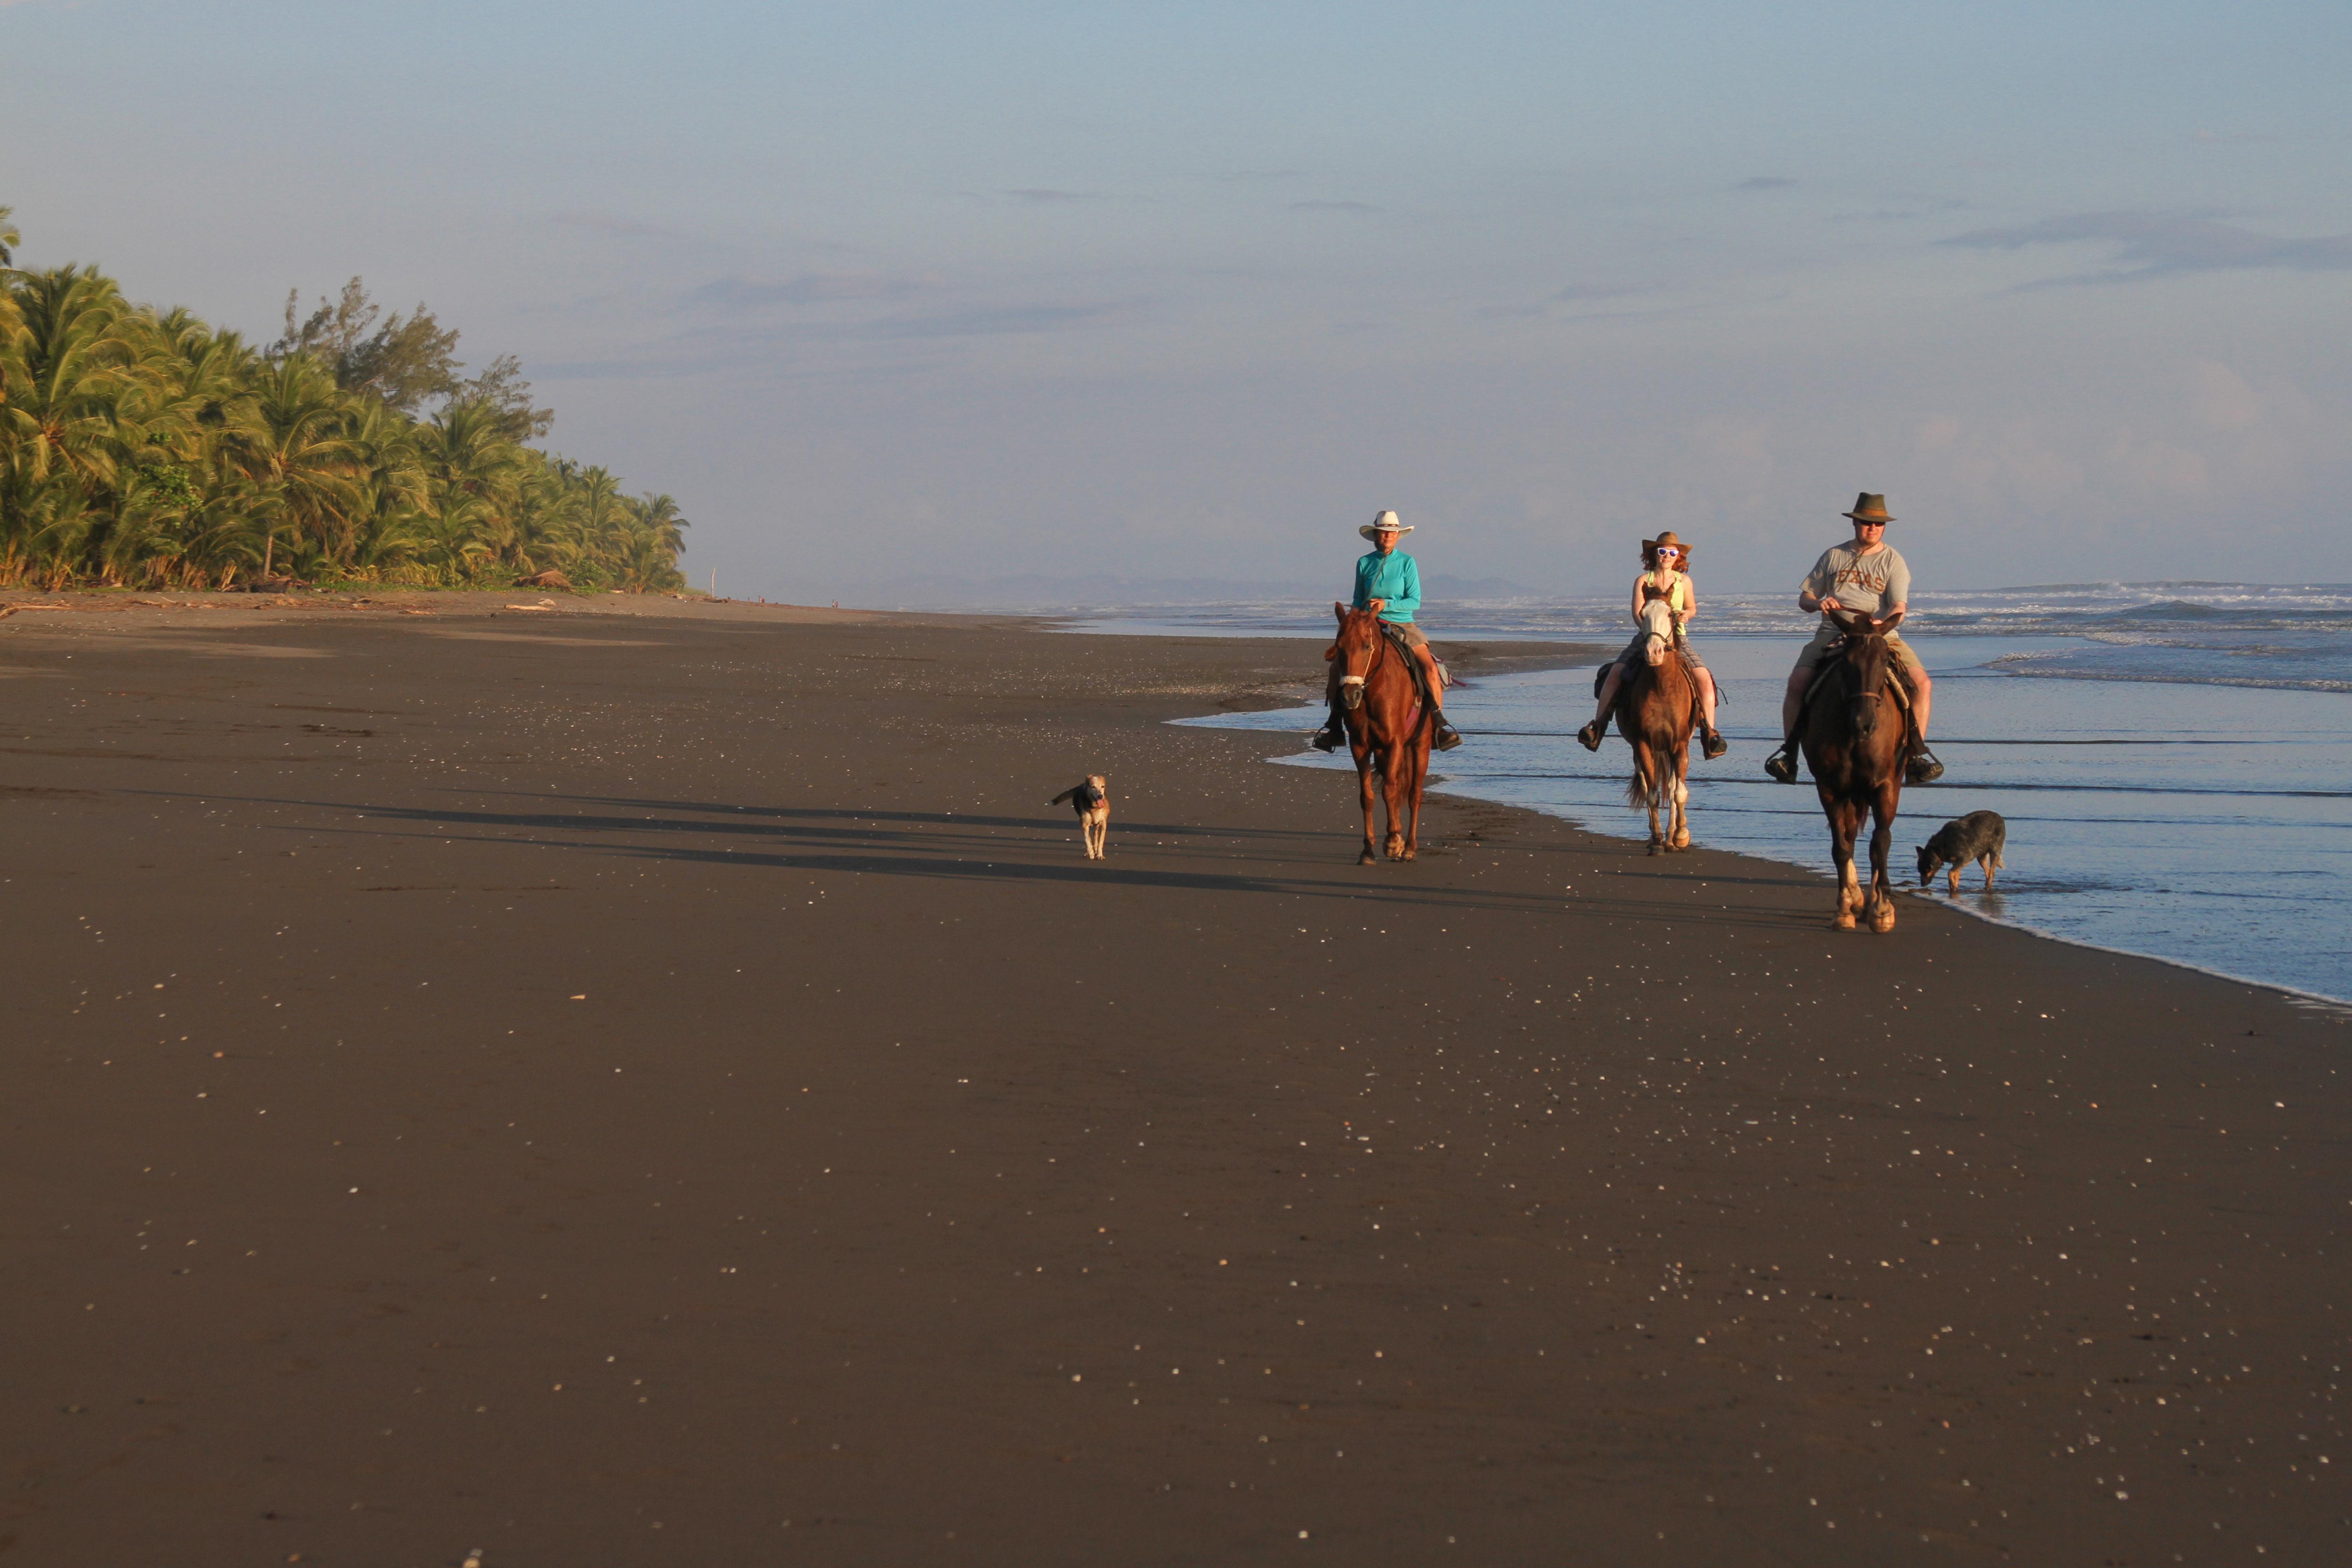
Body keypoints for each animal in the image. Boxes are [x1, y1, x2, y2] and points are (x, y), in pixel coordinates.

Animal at [1058, 771, 1110, 860]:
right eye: (1093, 787)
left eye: (1103, 786)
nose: (1101, 796)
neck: (1094, 807)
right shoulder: (1084, 825)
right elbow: (1087, 839)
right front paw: (1091, 853)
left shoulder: (1103, 824)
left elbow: (1101, 841)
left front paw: (1100, 855)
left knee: (1096, 834)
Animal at [1326, 606, 1430, 869]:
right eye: (1339, 647)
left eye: (1367, 646)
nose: (1350, 696)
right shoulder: (1360, 746)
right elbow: (1368, 795)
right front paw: (1368, 851)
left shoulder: (1395, 743)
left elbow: (1391, 791)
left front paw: (1394, 841)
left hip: (1420, 745)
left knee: (1414, 795)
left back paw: (1409, 848)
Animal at [1609, 595, 1702, 851]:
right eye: (1643, 614)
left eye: (1671, 614)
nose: (1654, 653)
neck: (1663, 687)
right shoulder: (1642, 743)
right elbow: (1652, 794)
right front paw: (1658, 841)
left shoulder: (1679, 745)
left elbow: (1678, 793)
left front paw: (1680, 835)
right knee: (1645, 784)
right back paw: (1656, 835)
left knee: (1670, 787)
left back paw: (1671, 837)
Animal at [1797, 611, 1910, 931]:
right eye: (1847, 661)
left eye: (1884, 659)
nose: (1865, 724)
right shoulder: (1830, 789)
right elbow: (1841, 847)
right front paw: (1845, 908)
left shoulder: (1885, 786)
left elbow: (1880, 842)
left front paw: (1882, 909)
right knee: (1848, 834)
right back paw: (1857, 896)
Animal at [1910, 808, 2004, 893]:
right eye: (1919, 871)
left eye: (1926, 871)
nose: (1922, 885)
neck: (1938, 849)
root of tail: (1999, 817)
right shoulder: (1956, 863)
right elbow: (1956, 875)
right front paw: (1954, 888)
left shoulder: (1966, 858)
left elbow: (1950, 872)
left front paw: (1953, 886)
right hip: (1981, 857)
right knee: (1988, 872)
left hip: (1995, 851)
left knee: (1992, 873)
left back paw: (1988, 888)